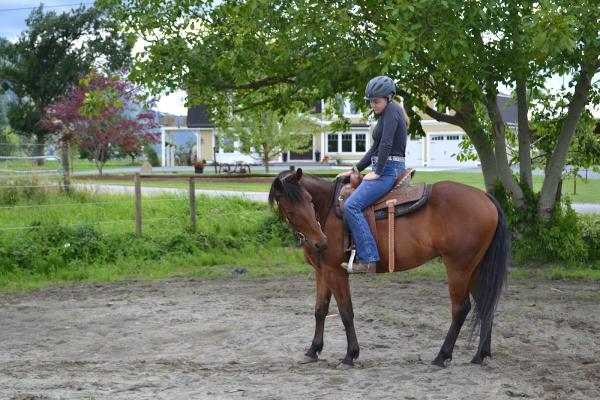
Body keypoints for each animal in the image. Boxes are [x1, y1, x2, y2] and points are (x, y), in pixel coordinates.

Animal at [270, 167, 508, 368]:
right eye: (291, 210)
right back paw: (480, 355)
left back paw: (442, 356)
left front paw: (350, 355)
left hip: (459, 268)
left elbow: (346, 312)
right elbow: (320, 310)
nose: (321, 242)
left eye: (309, 202)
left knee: (461, 308)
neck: (328, 208)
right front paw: (314, 350)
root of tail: (484, 197)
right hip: (475, 268)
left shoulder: (335, 272)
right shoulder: (322, 271)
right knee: (485, 305)